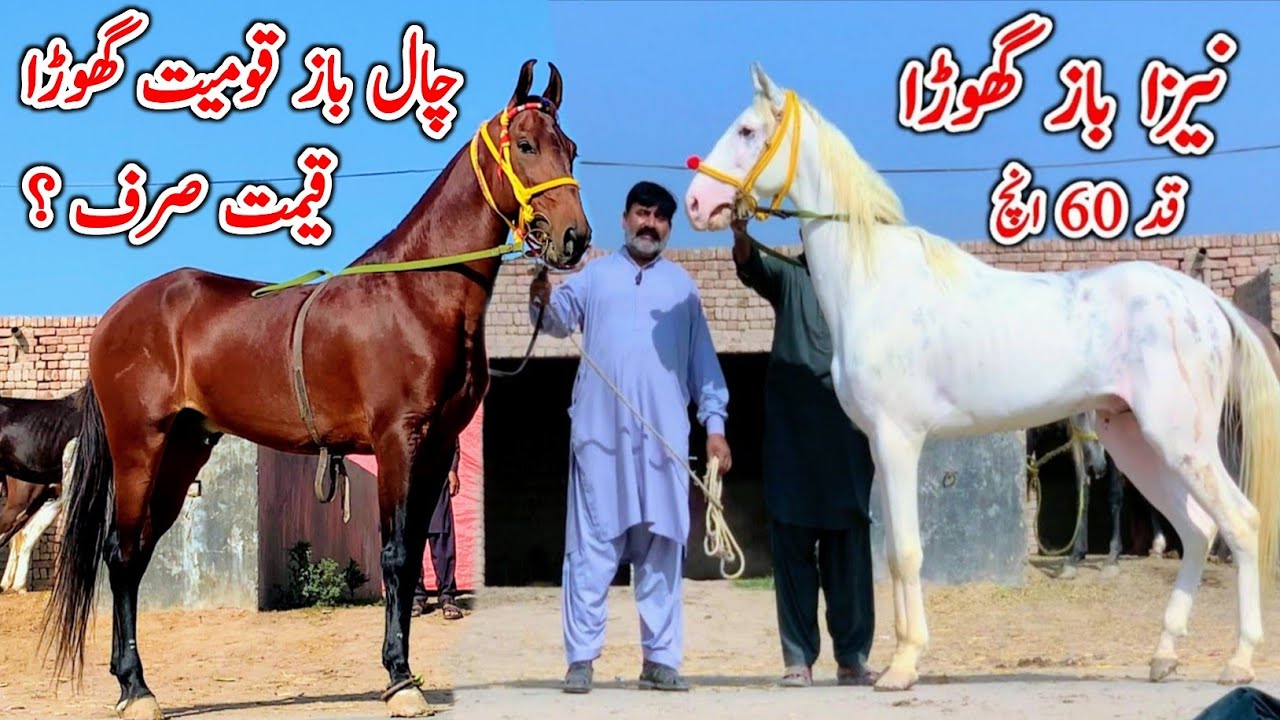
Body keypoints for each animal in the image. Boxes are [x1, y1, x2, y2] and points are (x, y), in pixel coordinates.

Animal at [40, 59, 591, 720]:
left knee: (138, 553)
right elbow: (396, 556)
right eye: (527, 145)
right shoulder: (397, 441)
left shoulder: (435, 449)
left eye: (571, 148)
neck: (418, 294)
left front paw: (403, 673)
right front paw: (400, 680)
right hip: (138, 449)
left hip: (182, 452)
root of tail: (116, 316)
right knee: (120, 556)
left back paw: (131, 682)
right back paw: (136, 689)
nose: (574, 238)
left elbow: (409, 559)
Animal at [684, 63, 1280, 692]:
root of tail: (1206, 302)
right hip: (1135, 443)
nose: (697, 202)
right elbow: (892, 552)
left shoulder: (899, 441)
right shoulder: (881, 448)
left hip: (1180, 442)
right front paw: (898, 660)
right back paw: (1163, 656)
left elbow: (906, 552)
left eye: (747, 131)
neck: (874, 283)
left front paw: (903, 666)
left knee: (1240, 524)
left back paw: (1239, 660)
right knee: (1198, 531)